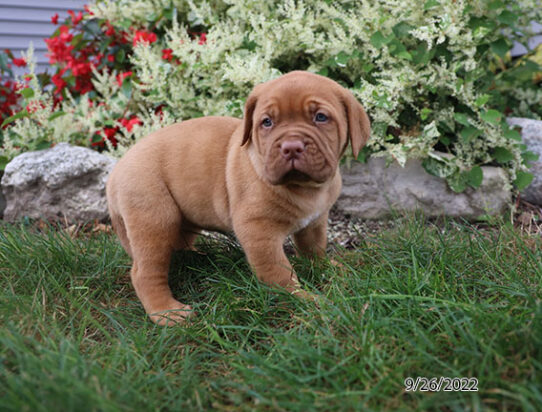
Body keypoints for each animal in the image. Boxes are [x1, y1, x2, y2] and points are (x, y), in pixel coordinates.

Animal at [106, 71, 370, 326]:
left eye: (321, 118)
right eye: (267, 122)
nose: (291, 147)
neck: (305, 188)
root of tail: (115, 173)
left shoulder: (314, 222)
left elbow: (314, 249)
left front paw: (327, 269)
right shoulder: (258, 230)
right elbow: (278, 272)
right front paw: (303, 300)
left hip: (180, 221)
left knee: (179, 244)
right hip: (155, 220)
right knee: (145, 273)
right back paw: (167, 313)